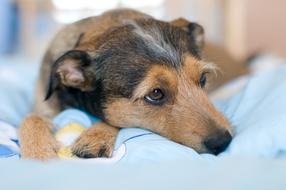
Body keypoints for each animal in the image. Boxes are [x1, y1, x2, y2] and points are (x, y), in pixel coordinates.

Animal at [20, 8, 233, 160]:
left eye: (203, 79)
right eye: (156, 94)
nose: (223, 141)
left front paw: (96, 136)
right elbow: (31, 118)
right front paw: (39, 154)